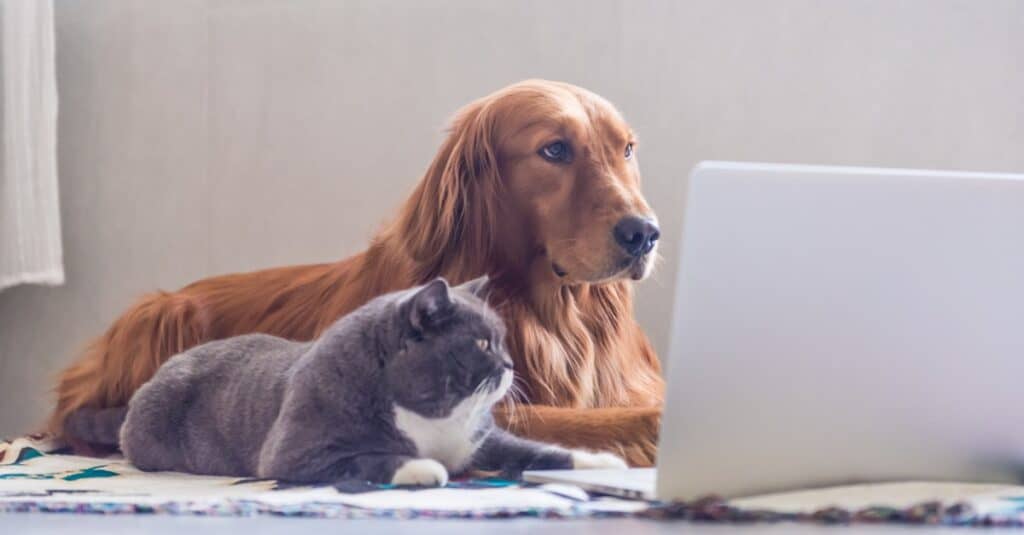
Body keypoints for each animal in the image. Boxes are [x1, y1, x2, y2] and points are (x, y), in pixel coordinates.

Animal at [51, 77, 667, 461]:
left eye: (626, 149)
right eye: (554, 150)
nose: (644, 233)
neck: (553, 316)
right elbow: (625, 420)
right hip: (160, 315)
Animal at [66, 276, 622, 485]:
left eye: (503, 342)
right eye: (484, 344)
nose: (510, 365)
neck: (432, 417)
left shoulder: (479, 441)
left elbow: (533, 449)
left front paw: (603, 461)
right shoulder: (297, 452)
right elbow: (368, 456)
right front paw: (423, 468)